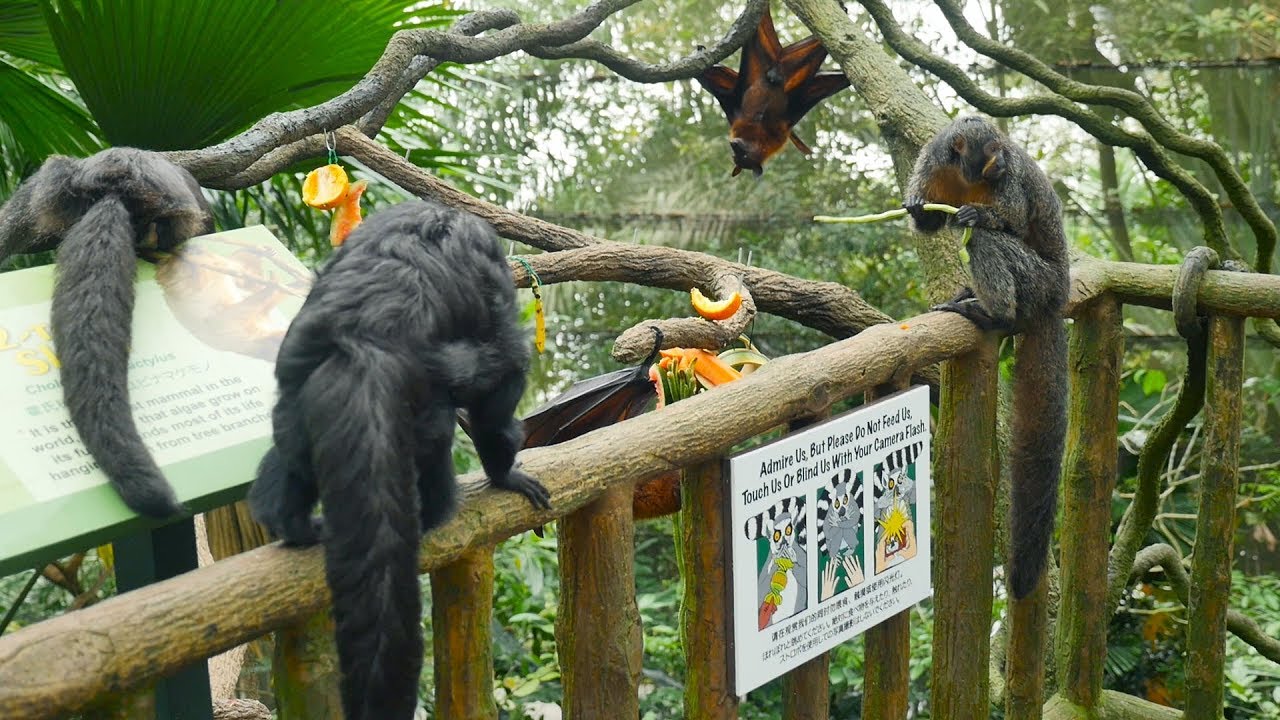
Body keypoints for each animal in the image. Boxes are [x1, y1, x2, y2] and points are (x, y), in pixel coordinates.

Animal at [246, 199, 552, 720]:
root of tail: (362, 345)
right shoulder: (490, 275)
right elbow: (502, 377)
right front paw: (505, 472)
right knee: (451, 411)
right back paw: (436, 510)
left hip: (301, 377)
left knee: (292, 446)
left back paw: (288, 519)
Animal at [903, 116, 1070, 599]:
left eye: (1002, 151)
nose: (1001, 160)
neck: (967, 176)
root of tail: (1060, 291)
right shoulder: (932, 160)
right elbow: (929, 222)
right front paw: (919, 212)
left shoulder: (1009, 181)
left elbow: (1006, 223)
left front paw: (980, 216)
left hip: (1039, 280)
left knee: (985, 242)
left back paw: (996, 311)